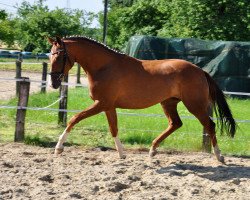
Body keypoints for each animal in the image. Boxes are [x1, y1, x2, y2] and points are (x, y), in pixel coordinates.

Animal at [47, 36, 235, 162]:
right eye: (50, 55)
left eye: (59, 55)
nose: (54, 82)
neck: (104, 66)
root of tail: (200, 70)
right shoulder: (108, 106)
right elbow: (113, 128)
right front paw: (122, 154)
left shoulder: (101, 104)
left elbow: (74, 118)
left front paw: (58, 148)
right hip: (168, 103)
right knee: (175, 123)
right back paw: (152, 150)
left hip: (194, 105)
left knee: (210, 125)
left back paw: (219, 156)